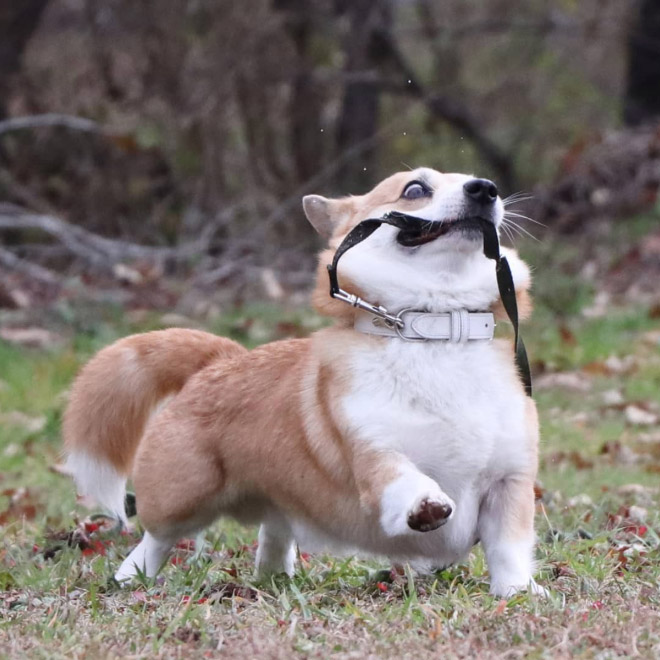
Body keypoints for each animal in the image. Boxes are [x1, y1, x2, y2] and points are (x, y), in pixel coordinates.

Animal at [64, 168, 544, 596]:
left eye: (482, 183)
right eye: (414, 189)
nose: (485, 189)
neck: (435, 334)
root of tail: (222, 359)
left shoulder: (510, 484)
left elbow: (508, 547)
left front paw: (517, 590)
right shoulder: (372, 452)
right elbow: (401, 475)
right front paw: (425, 504)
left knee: (274, 530)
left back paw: (276, 575)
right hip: (184, 495)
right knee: (156, 539)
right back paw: (131, 578)